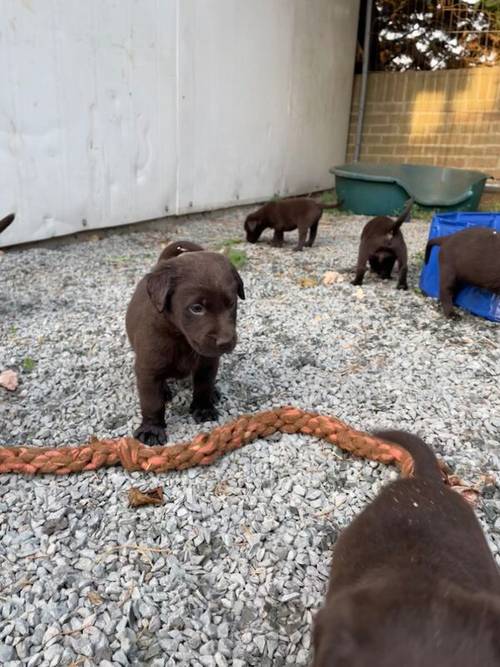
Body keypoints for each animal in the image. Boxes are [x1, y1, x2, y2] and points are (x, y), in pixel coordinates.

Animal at [126, 240, 245, 444]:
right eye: (196, 308)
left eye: (231, 304)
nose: (226, 342)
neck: (181, 339)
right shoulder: (148, 369)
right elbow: (152, 402)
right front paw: (151, 429)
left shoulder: (208, 363)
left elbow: (203, 386)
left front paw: (203, 409)